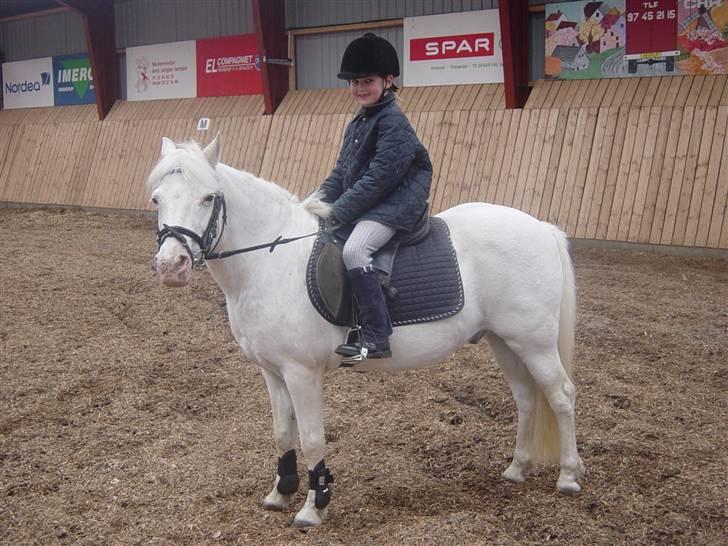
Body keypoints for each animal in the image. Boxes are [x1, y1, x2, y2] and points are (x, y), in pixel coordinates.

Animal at [149, 134, 584, 524]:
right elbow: (282, 433)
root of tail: (541, 227)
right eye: (157, 199)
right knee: (527, 397)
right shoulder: (271, 371)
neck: (273, 260)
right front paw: (280, 492)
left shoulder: (301, 373)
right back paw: (516, 469)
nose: (171, 267)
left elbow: (311, 438)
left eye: (209, 197)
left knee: (560, 396)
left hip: (534, 342)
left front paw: (314, 505)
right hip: (504, 341)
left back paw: (567, 476)